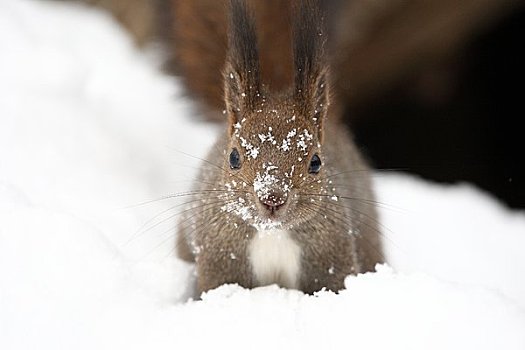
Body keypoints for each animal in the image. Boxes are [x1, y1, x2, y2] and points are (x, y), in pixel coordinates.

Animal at [170, 0, 382, 294]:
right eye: (233, 157)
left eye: (316, 162)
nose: (272, 198)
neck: (273, 233)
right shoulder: (219, 263)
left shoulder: (331, 261)